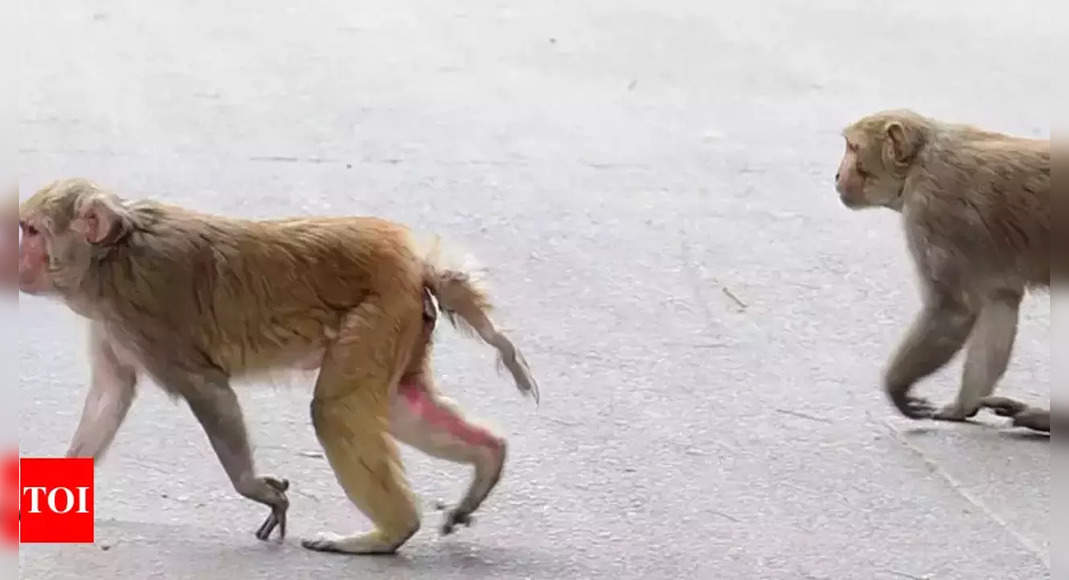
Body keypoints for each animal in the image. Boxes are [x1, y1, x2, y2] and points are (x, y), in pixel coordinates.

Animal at [17, 177, 539, 554]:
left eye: (32, 231)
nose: (17, 258)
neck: (111, 257)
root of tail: (411, 261)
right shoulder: (111, 323)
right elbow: (111, 394)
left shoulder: (143, 315)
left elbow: (207, 388)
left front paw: (254, 488)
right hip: (404, 323)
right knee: (399, 403)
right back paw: (487, 458)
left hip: (379, 312)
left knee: (335, 410)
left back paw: (388, 534)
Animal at [834, 109, 1049, 423]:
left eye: (853, 148)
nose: (838, 175)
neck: (918, 164)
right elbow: (1001, 301)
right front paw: (963, 407)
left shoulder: (931, 209)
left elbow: (953, 311)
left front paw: (897, 387)